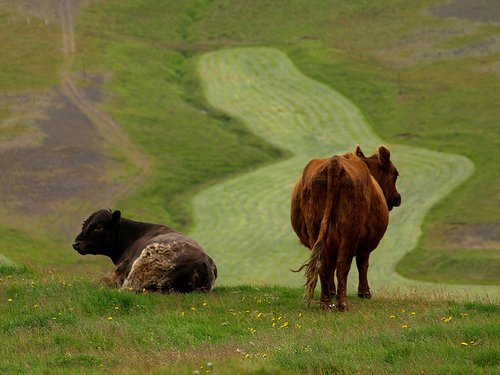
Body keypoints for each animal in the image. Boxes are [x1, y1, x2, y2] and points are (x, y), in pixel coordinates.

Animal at [292, 145, 400, 312]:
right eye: (395, 174)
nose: (397, 197)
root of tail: (334, 163)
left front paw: (331, 291)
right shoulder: (366, 241)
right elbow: (363, 264)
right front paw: (364, 293)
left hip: (315, 228)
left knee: (324, 264)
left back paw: (326, 303)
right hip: (350, 231)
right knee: (344, 264)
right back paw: (342, 304)